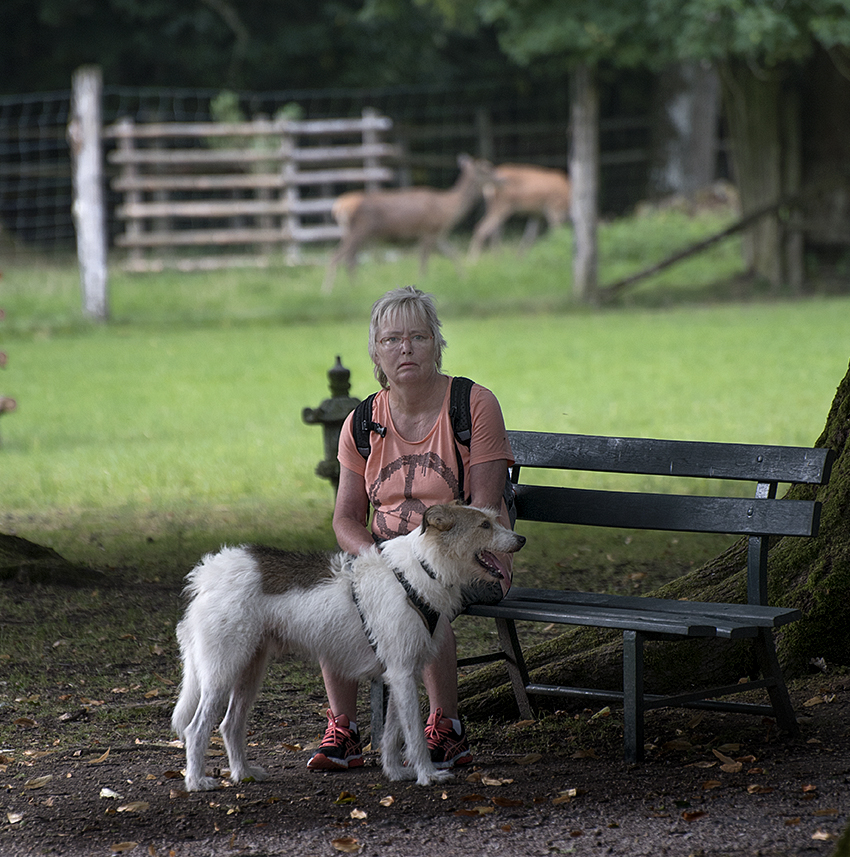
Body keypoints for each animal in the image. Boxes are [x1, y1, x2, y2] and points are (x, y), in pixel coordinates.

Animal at [172, 502, 524, 788]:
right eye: (484, 526)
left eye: (493, 520)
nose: (520, 540)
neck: (421, 569)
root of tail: (208, 575)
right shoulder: (402, 673)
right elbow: (413, 734)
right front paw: (426, 775)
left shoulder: (400, 673)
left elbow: (393, 733)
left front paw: (395, 772)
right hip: (221, 673)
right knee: (196, 729)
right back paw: (197, 781)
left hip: (248, 671)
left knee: (230, 725)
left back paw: (243, 773)